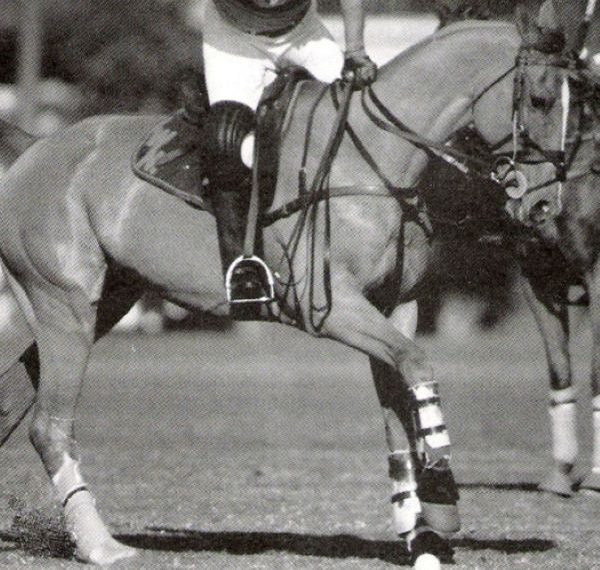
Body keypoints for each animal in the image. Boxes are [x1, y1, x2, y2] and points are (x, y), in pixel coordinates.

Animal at [0, 16, 570, 567]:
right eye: (541, 99)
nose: (545, 206)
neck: (376, 161)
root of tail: (36, 146)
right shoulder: (332, 308)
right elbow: (417, 366)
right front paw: (442, 494)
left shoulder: (395, 307)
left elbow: (398, 405)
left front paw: (420, 532)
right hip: (65, 304)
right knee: (49, 425)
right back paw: (101, 545)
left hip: (106, 301)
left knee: (19, 401)